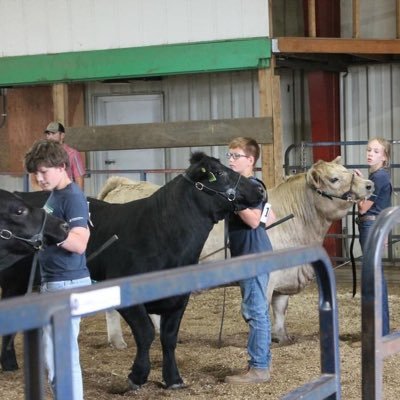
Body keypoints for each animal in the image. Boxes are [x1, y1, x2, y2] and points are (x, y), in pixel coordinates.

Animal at [0, 152, 264, 390]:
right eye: (219, 172)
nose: (259, 190)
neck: (165, 233)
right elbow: (146, 333)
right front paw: (137, 375)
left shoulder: (180, 298)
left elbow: (169, 338)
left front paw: (173, 378)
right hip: (13, 280)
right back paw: (9, 362)